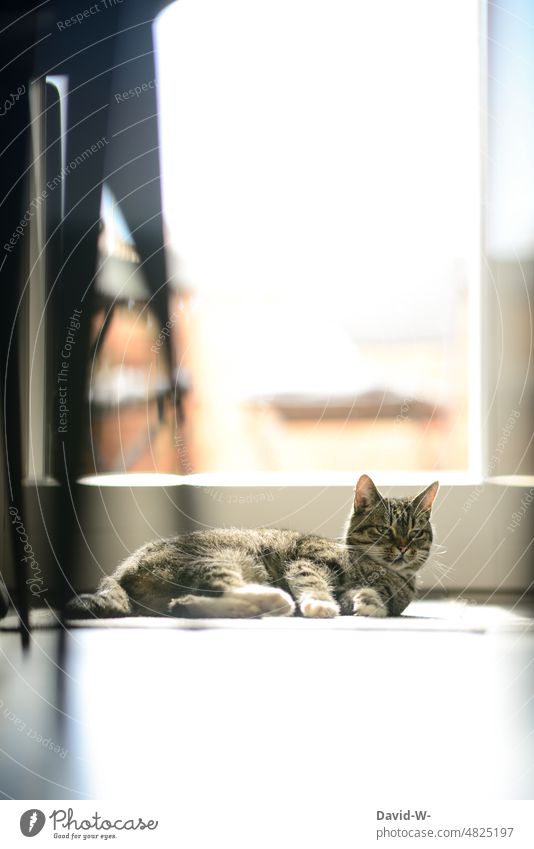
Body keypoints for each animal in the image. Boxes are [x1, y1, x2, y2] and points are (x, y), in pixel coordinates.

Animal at [67, 474, 440, 620]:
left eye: (416, 532)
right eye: (384, 529)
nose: (403, 547)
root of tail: (120, 571)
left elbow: (374, 602)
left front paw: (368, 603)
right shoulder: (308, 561)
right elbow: (314, 584)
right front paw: (322, 604)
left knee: (194, 601)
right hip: (220, 558)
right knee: (227, 586)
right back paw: (276, 599)